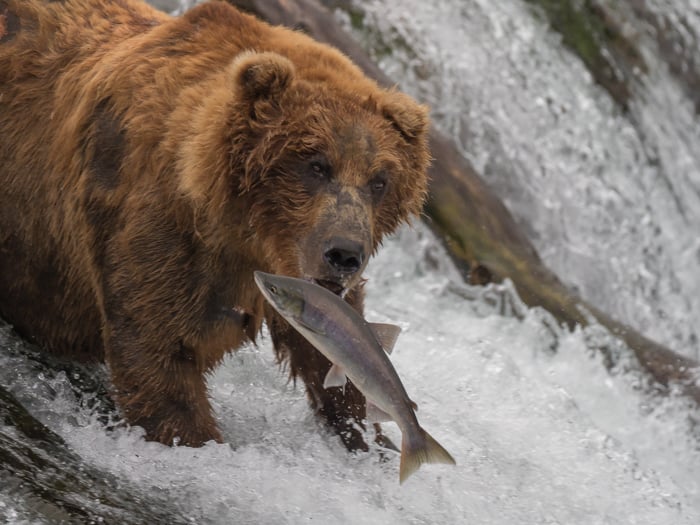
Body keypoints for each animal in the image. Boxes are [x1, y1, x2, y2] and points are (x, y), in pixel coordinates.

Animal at [0, 0, 430, 450]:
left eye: (380, 180)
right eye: (316, 165)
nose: (344, 254)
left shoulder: (300, 282)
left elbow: (334, 360)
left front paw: (372, 440)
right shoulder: (161, 230)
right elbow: (160, 353)